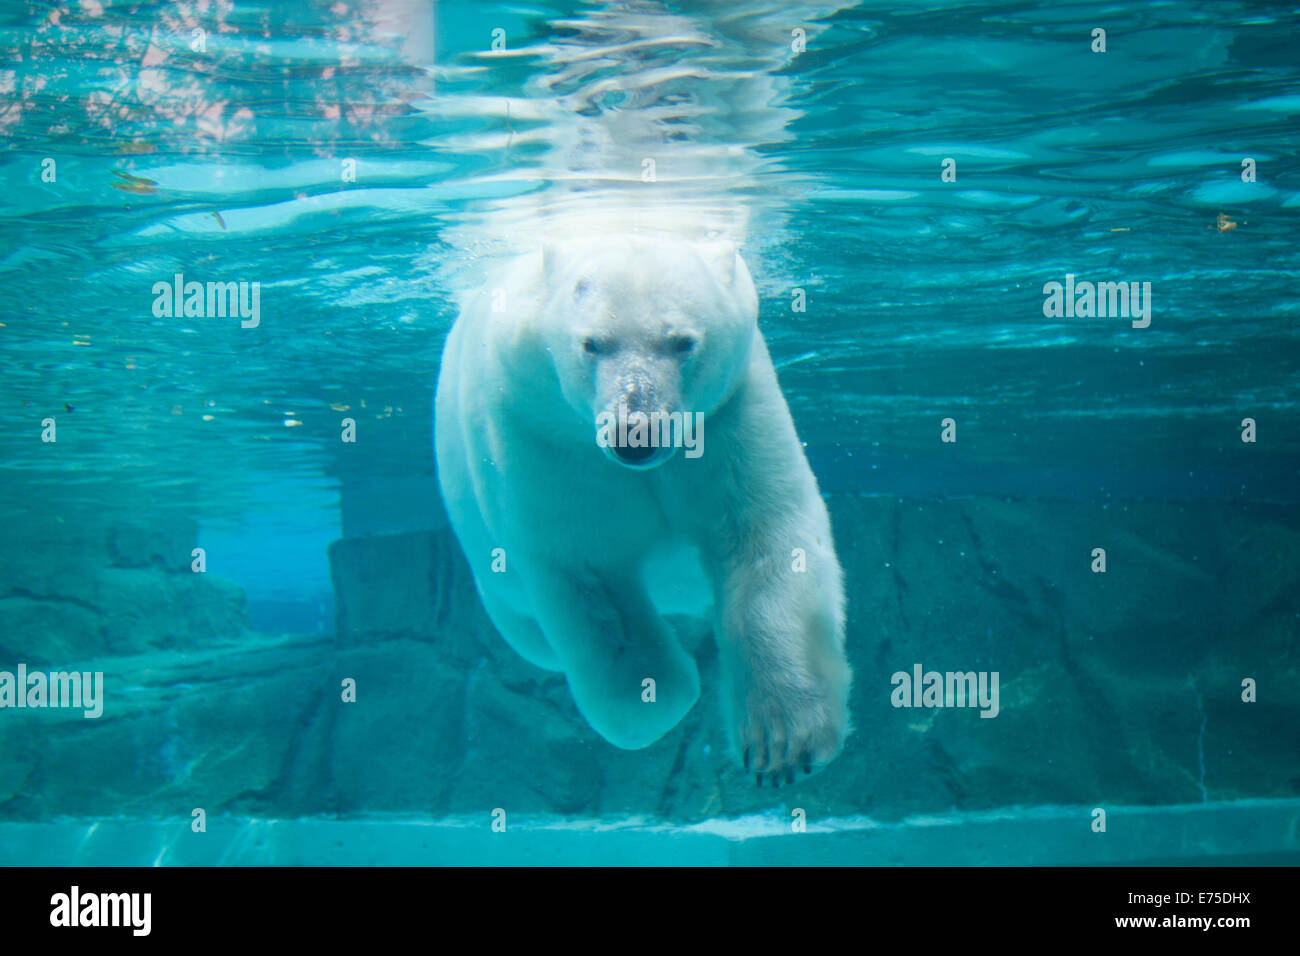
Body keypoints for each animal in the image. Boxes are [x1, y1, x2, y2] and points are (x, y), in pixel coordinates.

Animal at [436, 234, 852, 785]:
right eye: (592, 344)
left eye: (682, 342)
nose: (634, 434)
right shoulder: (541, 433)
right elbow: (587, 572)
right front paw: (663, 696)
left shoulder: (730, 408)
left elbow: (764, 535)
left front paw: (782, 745)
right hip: (496, 583)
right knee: (530, 631)